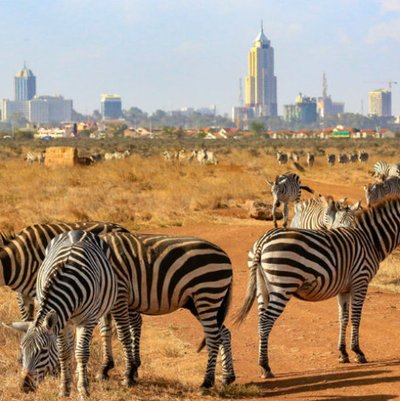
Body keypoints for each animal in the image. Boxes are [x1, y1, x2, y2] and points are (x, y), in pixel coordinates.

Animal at [9, 230, 117, 396]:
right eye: (22, 349)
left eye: (43, 351)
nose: (24, 387)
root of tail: (78, 231)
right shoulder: (60, 322)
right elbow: (63, 353)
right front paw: (64, 387)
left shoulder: (88, 319)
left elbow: (82, 353)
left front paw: (83, 389)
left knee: (89, 342)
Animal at [99, 231, 236, 388]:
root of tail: (225, 256)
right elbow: (105, 331)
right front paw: (105, 369)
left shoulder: (120, 294)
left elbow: (123, 334)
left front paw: (127, 375)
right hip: (200, 302)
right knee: (223, 332)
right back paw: (227, 377)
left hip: (207, 294)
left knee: (213, 337)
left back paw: (207, 382)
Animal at [234, 198, 400, 380]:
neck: (370, 240)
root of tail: (264, 239)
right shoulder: (360, 281)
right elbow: (356, 318)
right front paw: (358, 352)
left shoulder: (344, 289)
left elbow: (343, 318)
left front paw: (343, 353)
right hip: (282, 286)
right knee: (265, 322)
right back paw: (266, 367)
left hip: (262, 288)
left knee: (260, 321)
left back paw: (262, 365)